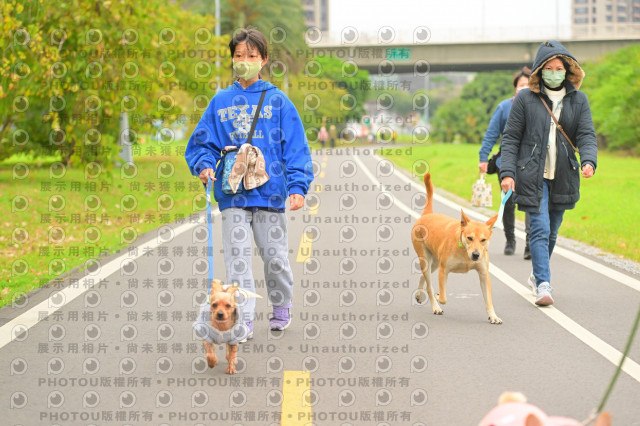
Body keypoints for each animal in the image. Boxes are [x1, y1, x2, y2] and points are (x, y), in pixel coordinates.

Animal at [411, 173, 501, 324]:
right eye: (470, 238)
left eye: (483, 240)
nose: (476, 255)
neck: (464, 251)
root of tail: (427, 215)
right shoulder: (443, 271)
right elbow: (443, 297)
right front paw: (438, 295)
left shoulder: (483, 274)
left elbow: (488, 300)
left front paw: (493, 316)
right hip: (426, 257)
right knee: (428, 283)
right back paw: (435, 305)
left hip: (434, 262)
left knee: (423, 276)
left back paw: (419, 294)